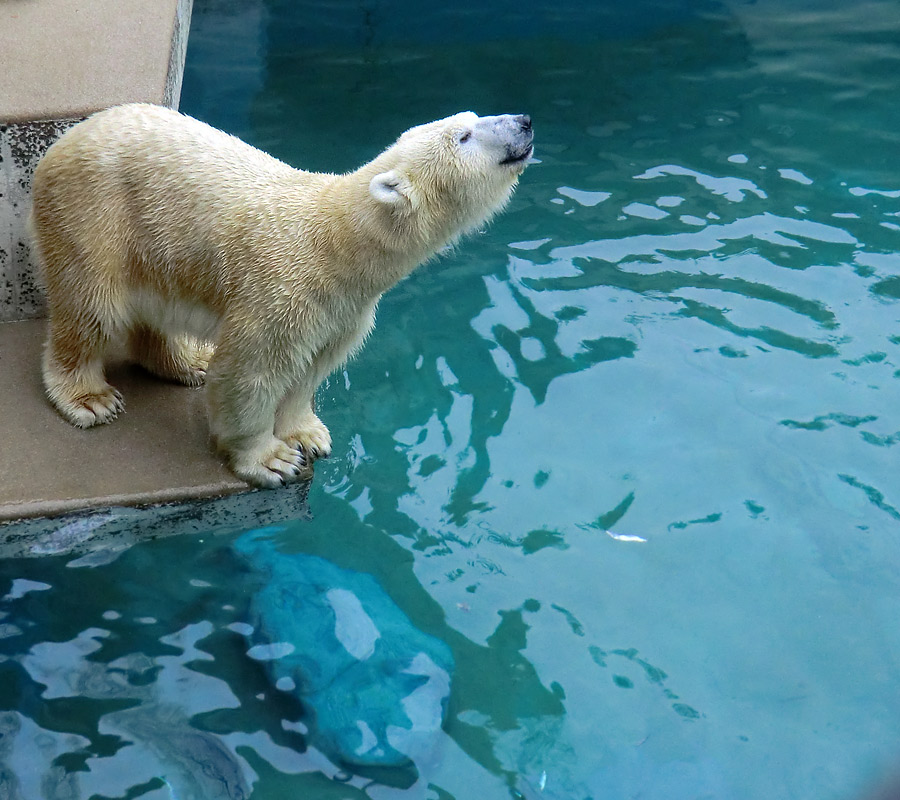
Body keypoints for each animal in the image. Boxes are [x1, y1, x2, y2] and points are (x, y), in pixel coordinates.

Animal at [31, 101, 532, 488]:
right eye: (464, 135)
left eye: (472, 117)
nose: (524, 120)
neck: (336, 244)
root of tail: (68, 135)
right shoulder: (281, 290)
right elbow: (249, 373)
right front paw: (271, 459)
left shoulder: (342, 312)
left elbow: (311, 369)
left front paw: (307, 435)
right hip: (96, 213)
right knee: (91, 305)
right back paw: (89, 397)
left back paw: (187, 362)